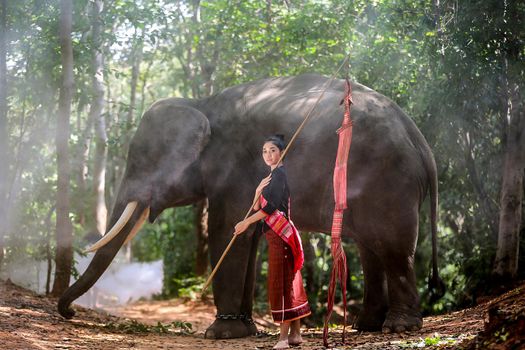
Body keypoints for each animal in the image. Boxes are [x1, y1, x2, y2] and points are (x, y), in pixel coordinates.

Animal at [57, 72, 442, 338]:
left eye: (139, 161)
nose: (69, 313)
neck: (201, 102)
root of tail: (422, 144)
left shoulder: (234, 169)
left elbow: (229, 230)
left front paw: (219, 334)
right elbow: (250, 237)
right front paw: (243, 330)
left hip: (389, 183)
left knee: (393, 247)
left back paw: (399, 328)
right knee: (370, 248)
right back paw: (367, 326)